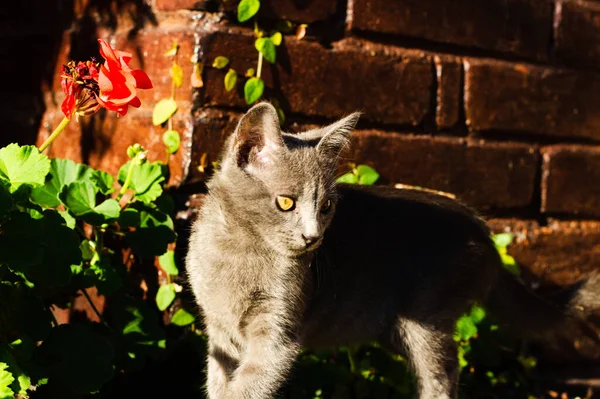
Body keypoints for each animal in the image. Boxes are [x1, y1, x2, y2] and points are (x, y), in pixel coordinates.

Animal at [185, 104, 596, 399]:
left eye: (327, 207)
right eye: (285, 202)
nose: (312, 236)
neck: (240, 251)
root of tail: (485, 232)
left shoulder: (277, 332)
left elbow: (249, 385)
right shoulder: (219, 331)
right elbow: (219, 382)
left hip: (426, 315)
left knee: (443, 374)